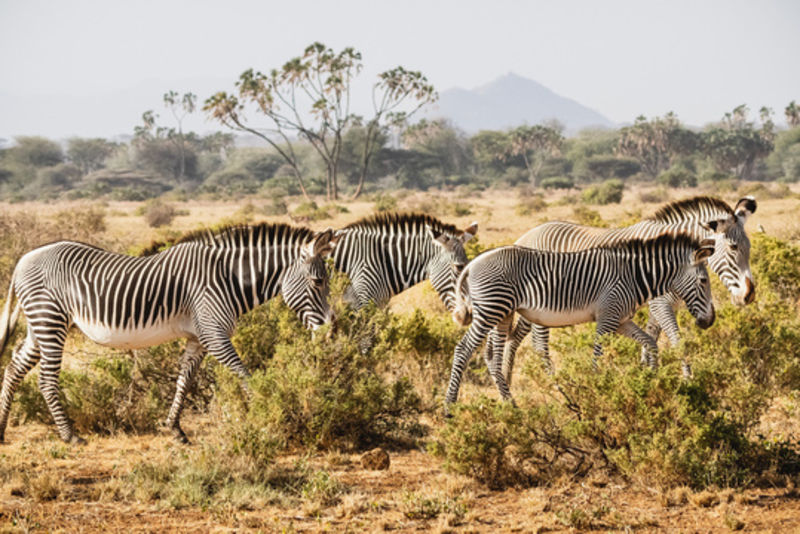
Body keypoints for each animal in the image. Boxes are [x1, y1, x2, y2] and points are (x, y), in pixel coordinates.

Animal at [0, 224, 338, 446]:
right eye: (318, 281)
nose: (330, 328)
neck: (228, 278)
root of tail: (22, 260)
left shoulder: (198, 339)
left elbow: (184, 381)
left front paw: (175, 430)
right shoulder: (214, 333)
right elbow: (244, 374)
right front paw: (266, 414)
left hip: (40, 325)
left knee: (13, 368)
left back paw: (2, 430)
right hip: (50, 320)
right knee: (45, 380)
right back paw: (70, 436)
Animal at [446, 232, 716, 412]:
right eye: (704, 281)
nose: (709, 321)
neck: (634, 276)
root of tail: (472, 263)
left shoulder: (621, 320)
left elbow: (650, 342)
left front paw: (651, 380)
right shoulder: (607, 317)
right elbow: (596, 356)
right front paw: (596, 393)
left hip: (502, 313)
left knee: (491, 355)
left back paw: (510, 404)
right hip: (490, 311)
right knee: (463, 350)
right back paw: (449, 407)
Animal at [500, 197, 756, 382]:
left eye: (750, 247)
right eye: (733, 248)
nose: (749, 295)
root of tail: (526, 236)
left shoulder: (658, 304)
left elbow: (651, 336)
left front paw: (647, 374)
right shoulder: (660, 303)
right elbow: (676, 340)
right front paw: (688, 380)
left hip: (531, 308)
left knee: (514, 337)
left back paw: (508, 379)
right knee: (539, 345)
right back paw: (551, 382)